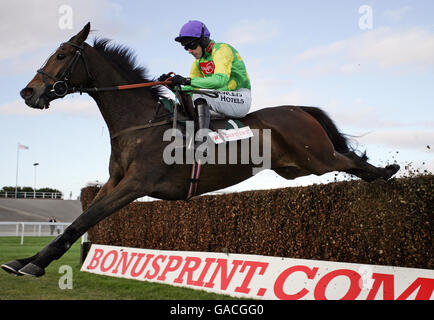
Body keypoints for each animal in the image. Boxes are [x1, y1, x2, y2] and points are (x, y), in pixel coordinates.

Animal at [1, 23, 398, 278]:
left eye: (61, 54)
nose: (28, 92)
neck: (141, 123)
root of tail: (299, 109)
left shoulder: (136, 184)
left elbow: (83, 220)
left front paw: (32, 264)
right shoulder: (116, 181)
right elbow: (80, 219)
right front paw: (25, 261)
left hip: (316, 157)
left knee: (353, 160)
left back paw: (389, 173)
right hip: (296, 166)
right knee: (351, 163)